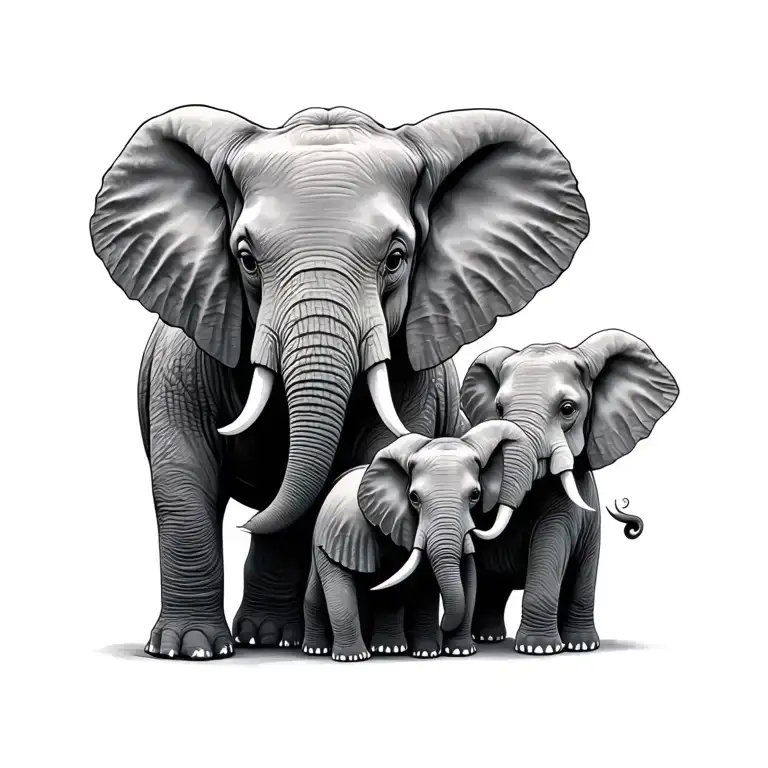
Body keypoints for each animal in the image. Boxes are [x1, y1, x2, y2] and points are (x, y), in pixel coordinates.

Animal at [302, 421, 533, 661]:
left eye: (475, 495)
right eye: (414, 498)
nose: (444, 625)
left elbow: (453, 578)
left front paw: (447, 652)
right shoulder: (345, 532)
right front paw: (353, 658)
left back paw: (389, 649)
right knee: (316, 592)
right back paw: (319, 650)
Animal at [459, 329, 678, 654]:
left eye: (567, 410)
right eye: (498, 410)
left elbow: (555, 543)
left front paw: (552, 648)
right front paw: (540, 649)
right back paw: (488, 639)